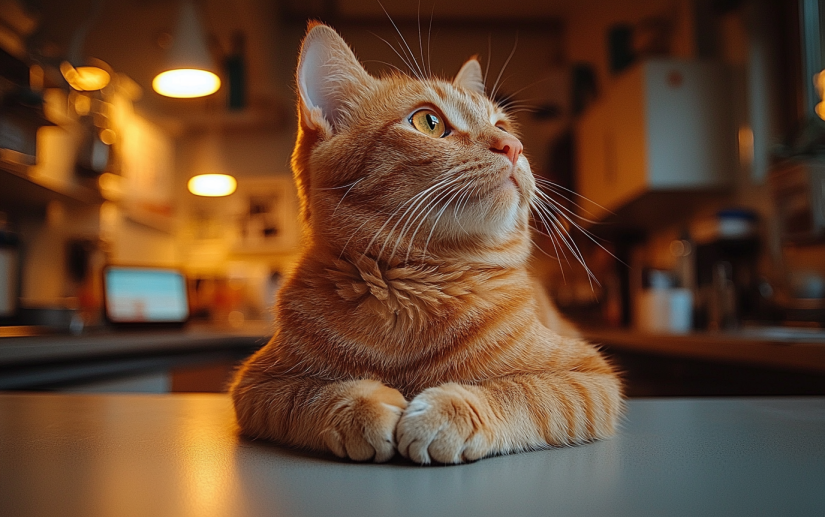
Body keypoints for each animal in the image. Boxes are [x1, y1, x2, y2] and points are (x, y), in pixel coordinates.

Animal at [229, 23, 620, 464]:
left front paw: (450, 411)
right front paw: (360, 408)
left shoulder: (590, 376)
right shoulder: (258, 384)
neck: (416, 286)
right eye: (429, 123)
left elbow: (521, 391)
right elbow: (313, 396)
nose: (513, 147)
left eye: (503, 126)